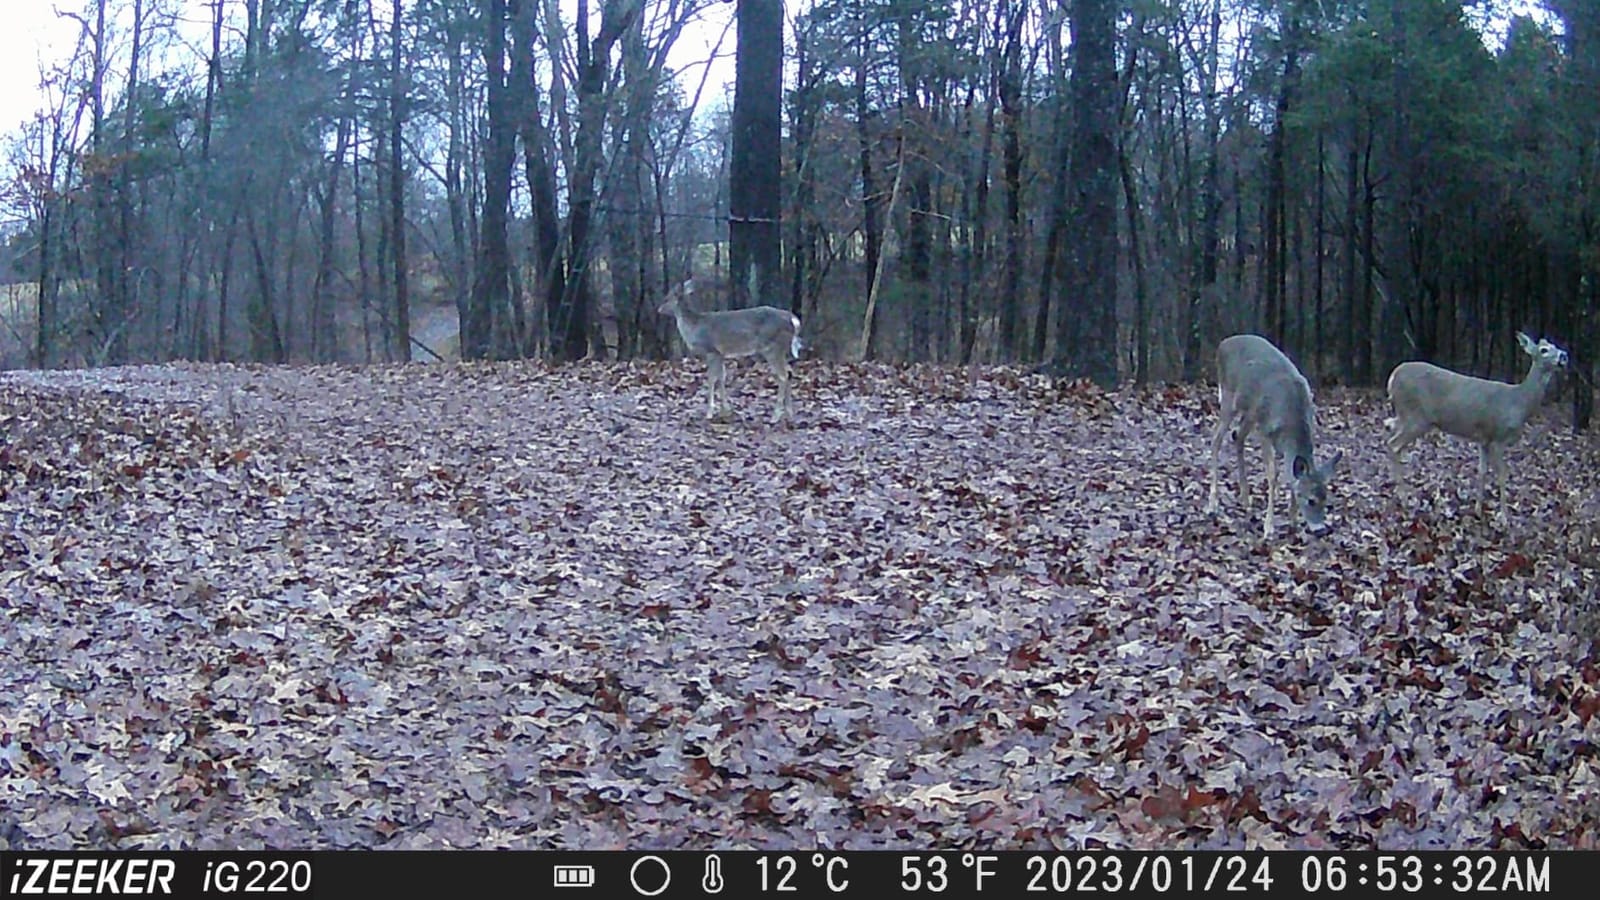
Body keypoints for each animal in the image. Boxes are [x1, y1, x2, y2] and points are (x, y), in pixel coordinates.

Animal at [658, 279, 802, 424]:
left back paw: (775, 416)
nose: (659, 309)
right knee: (789, 372)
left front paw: (710, 412)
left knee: (783, 376)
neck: (694, 326)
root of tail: (793, 320)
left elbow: (712, 379)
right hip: (781, 349)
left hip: (772, 348)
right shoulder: (720, 354)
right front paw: (726, 411)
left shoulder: (711, 350)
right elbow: (721, 377)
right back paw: (789, 414)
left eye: (667, 298)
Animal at [1204, 334, 1343, 537]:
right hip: (1229, 397)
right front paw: (1269, 527)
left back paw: (1245, 497)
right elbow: (1273, 474)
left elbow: (1291, 474)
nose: (1321, 530)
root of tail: (1223, 343)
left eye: (1326, 498)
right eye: (1310, 500)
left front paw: (1293, 521)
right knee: (1216, 440)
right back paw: (1212, 504)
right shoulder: (1265, 431)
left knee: (1237, 436)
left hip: (1249, 413)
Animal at [1385, 331, 1568, 520]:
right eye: (1544, 350)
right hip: (1416, 417)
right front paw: (1504, 517)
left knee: (1390, 432)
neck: (1519, 401)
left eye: (1555, 346)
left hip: (1406, 416)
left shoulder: (1484, 439)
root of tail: (1392, 378)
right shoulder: (1498, 437)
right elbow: (1502, 474)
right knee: (1393, 445)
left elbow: (1482, 471)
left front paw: (1478, 509)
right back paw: (1404, 499)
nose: (1564, 356)